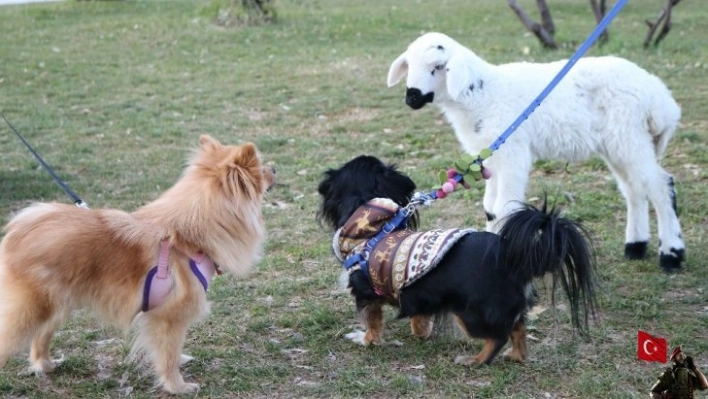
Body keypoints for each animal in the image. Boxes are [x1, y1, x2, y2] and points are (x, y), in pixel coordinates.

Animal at [0, 135, 276, 394]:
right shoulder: (169, 316)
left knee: (40, 338)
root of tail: (17, 233)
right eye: (261, 169)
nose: (275, 168)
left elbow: (171, 351)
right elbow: (167, 354)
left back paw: (46, 365)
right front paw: (177, 386)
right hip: (30, 309)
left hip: (56, 305)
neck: (189, 235)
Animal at [320, 155, 596, 366]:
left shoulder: (366, 294)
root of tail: (515, 259)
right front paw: (421, 334)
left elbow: (373, 324)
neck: (371, 225)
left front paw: (366, 340)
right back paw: (516, 356)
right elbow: (418, 317)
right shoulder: (417, 293)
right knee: (518, 328)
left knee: (498, 336)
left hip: (471, 313)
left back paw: (476, 361)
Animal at [388, 32, 684, 274]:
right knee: (634, 188)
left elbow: (504, 207)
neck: (483, 96)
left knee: (660, 185)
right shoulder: (492, 157)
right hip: (618, 143)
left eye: (438, 67)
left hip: (629, 134)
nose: (411, 97)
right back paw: (636, 246)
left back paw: (672, 254)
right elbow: (490, 208)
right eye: (409, 65)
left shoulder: (513, 153)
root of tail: (659, 97)